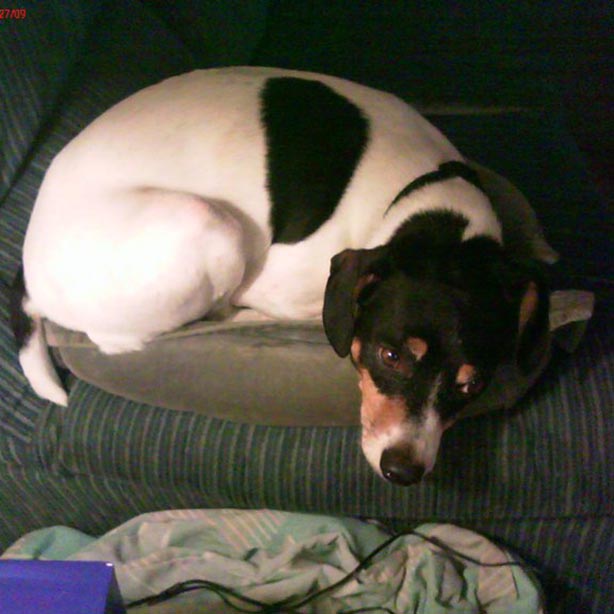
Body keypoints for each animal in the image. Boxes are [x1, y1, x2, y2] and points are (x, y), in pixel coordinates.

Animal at [12, 67, 548, 485]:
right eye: (390, 356)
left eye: (473, 386)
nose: (404, 471)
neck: (427, 201)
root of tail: (29, 271)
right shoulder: (278, 279)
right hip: (209, 224)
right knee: (132, 337)